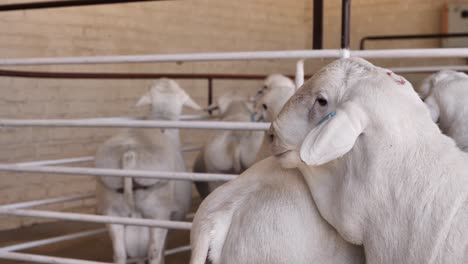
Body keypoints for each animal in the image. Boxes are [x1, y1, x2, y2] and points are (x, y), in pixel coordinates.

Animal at [96, 78, 202, 264]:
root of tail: (130, 154)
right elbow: (161, 250)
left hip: (112, 210)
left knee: (119, 253)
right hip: (157, 212)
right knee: (154, 252)